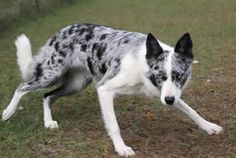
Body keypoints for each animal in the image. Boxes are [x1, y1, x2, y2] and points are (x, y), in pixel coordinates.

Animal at [1, 23, 223, 157]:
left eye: (179, 75)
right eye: (160, 76)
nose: (168, 102)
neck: (143, 68)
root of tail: (62, 31)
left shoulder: (168, 93)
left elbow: (191, 111)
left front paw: (208, 126)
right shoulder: (105, 90)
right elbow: (114, 126)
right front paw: (121, 148)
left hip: (76, 84)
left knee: (47, 96)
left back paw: (48, 122)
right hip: (50, 74)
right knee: (23, 87)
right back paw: (8, 112)